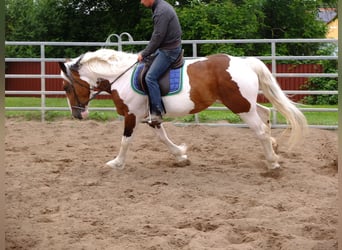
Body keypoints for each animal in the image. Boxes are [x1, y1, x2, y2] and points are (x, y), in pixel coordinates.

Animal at [58, 48, 308, 171]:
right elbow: (162, 137)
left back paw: (272, 162)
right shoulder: (150, 115)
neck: (121, 75)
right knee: (265, 114)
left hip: (240, 106)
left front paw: (116, 163)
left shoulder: (131, 115)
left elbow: (125, 141)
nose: (77, 114)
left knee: (260, 131)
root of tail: (245, 62)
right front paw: (180, 155)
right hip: (246, 103)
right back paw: (274, 148)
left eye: (66, 87)